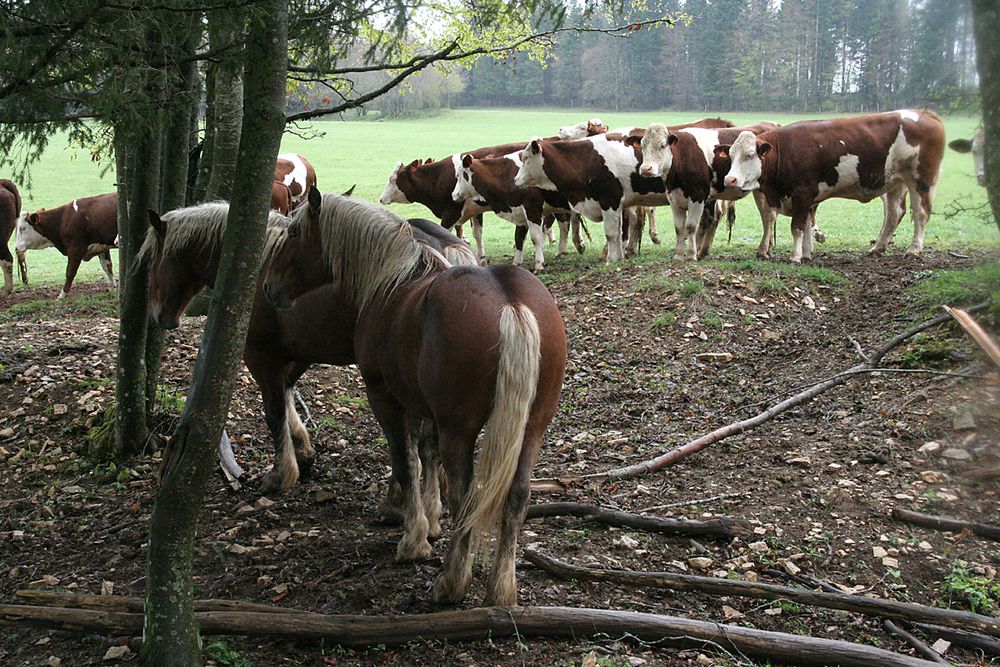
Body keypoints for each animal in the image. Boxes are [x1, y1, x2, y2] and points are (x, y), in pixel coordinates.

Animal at [139, 201, 478, 494]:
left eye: (152, 260)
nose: (156, 315)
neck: (257, 265)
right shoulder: (300, 352)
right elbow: (288, 395)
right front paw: (302, 450)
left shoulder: (260, 355)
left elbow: (274, 410)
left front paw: (281, 473)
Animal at [262, 190, 568, 608]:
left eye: (293, 233)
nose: (269, 287)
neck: (392, 282)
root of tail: (511, 303)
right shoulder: (426, 410)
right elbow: (426, 455)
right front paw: (428, 523)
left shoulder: (385, 396)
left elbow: (406, 461)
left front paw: (414, 539)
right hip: (532, 429)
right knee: (516, 497)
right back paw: (501, 589)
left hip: (461, 430)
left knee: (466, 497)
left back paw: (451, 582)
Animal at [712, 109, 944, 260]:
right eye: (730, 155)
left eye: (750, 155)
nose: (729, 179)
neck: (785, 151)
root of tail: (925, 114)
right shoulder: (806, 197)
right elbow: (806, 225)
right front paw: (806, 253)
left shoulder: (802, 193)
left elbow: (797, 227)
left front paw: (795, 256)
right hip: (895, 182)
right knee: (894, 214)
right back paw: (877, 248)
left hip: (920, 180)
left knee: (920, 213)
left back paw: (914, 249)